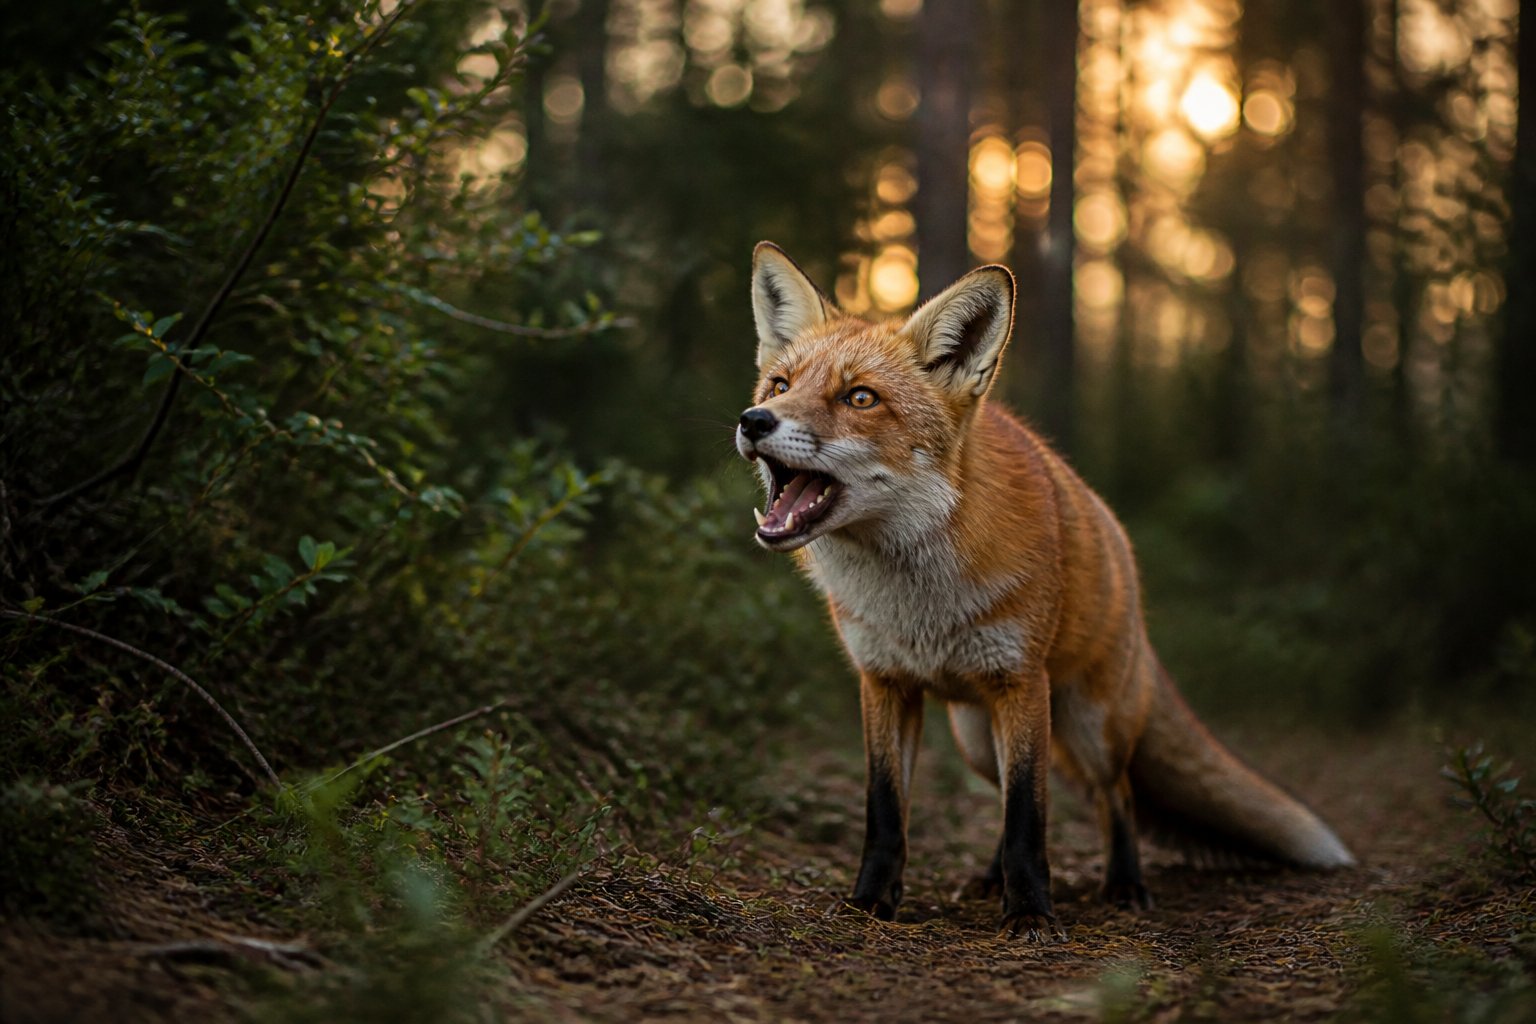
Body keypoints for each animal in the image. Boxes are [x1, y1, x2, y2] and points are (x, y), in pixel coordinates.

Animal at [735, 242, 1356, 940]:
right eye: (781, 385)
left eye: (860, 397)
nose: (754, 420)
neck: (919, 603)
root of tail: (1121, 546)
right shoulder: (885, 683)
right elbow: (887, 811)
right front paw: (871, 903)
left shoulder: (1021, 682)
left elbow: (1028, 816)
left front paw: (1031, 912)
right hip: (978, 739)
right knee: (1009, 795)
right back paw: (988, 878)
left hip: (1089, 726)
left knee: (1115, 795)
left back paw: (1124, 884)